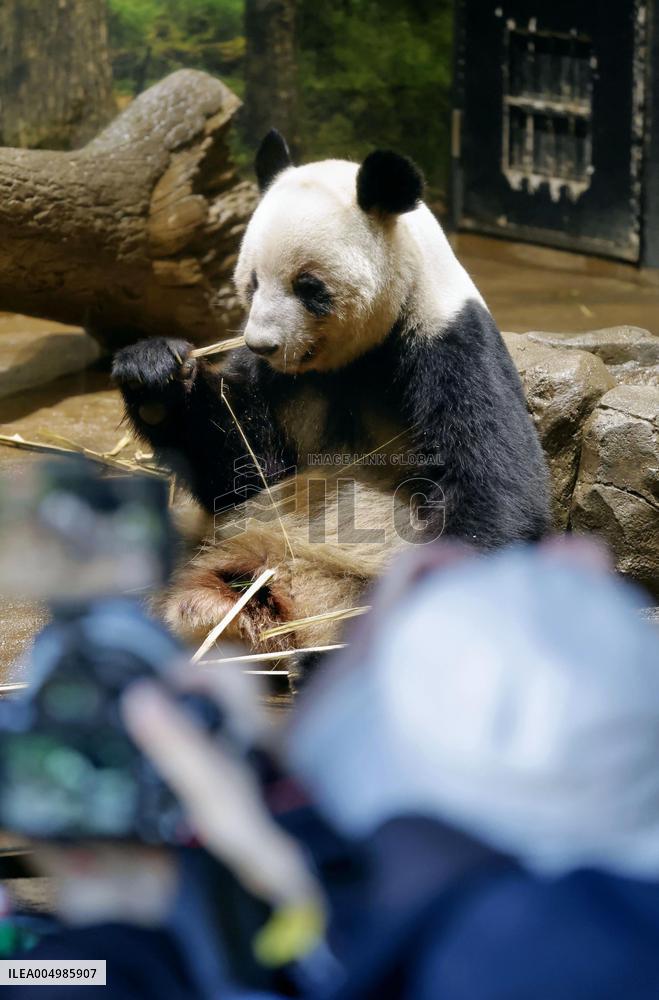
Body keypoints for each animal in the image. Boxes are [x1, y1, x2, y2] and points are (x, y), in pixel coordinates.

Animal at [112, 130, 550, 656]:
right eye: (251, 281)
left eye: (308, 286)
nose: (261, 344)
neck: (353, 358)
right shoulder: (277, 383)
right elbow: (245, 470)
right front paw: (154, 373)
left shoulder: (448, 346)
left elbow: (496, 486)